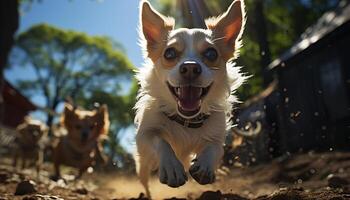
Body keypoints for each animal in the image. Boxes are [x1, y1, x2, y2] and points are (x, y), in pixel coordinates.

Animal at [134, 0, 246, 197]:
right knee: (145, 180)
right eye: (169, 53)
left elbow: (214, 148)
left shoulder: (216, 137)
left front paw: (205, 166)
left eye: (211, 54)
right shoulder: (144, 136)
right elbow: (160, 141)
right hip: (144, 164)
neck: (186, 120)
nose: (190, 68)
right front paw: (172, 167)